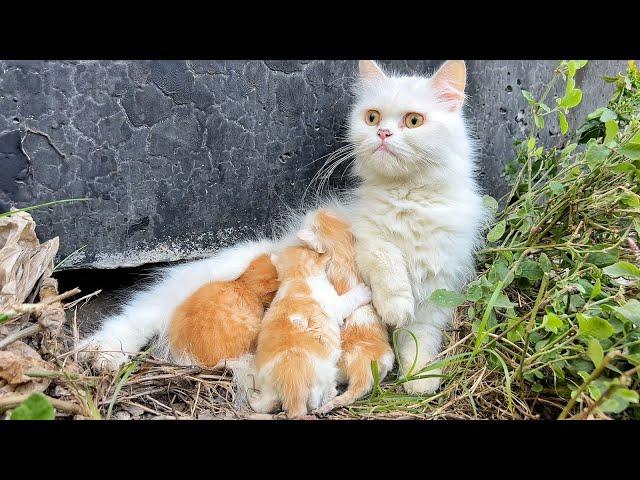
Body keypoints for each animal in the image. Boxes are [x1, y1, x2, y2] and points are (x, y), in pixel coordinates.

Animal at [249, 246, 370, 418]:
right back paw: (330, 394)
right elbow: (350, 299)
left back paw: (254, 399)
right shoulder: (336, 305)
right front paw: (364, 291)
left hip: (268, 388)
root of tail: (292, 384)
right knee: (316, 402)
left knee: (266, 405)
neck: (297, 278)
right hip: (323, 378)